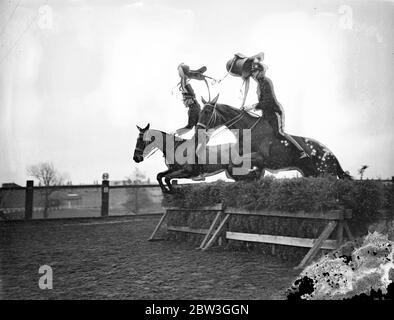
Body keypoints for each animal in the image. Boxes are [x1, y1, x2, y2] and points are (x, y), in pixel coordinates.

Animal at [197, 96, 350, 179]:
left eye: (207, 111)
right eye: (201, 111)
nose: (198, 129)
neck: (248, 131)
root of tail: (332, 155)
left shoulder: (261, 157)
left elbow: (236, 164)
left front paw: (252, 175)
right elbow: (230, 164)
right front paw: (251, 175)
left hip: (326, 172)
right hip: (310, 173)